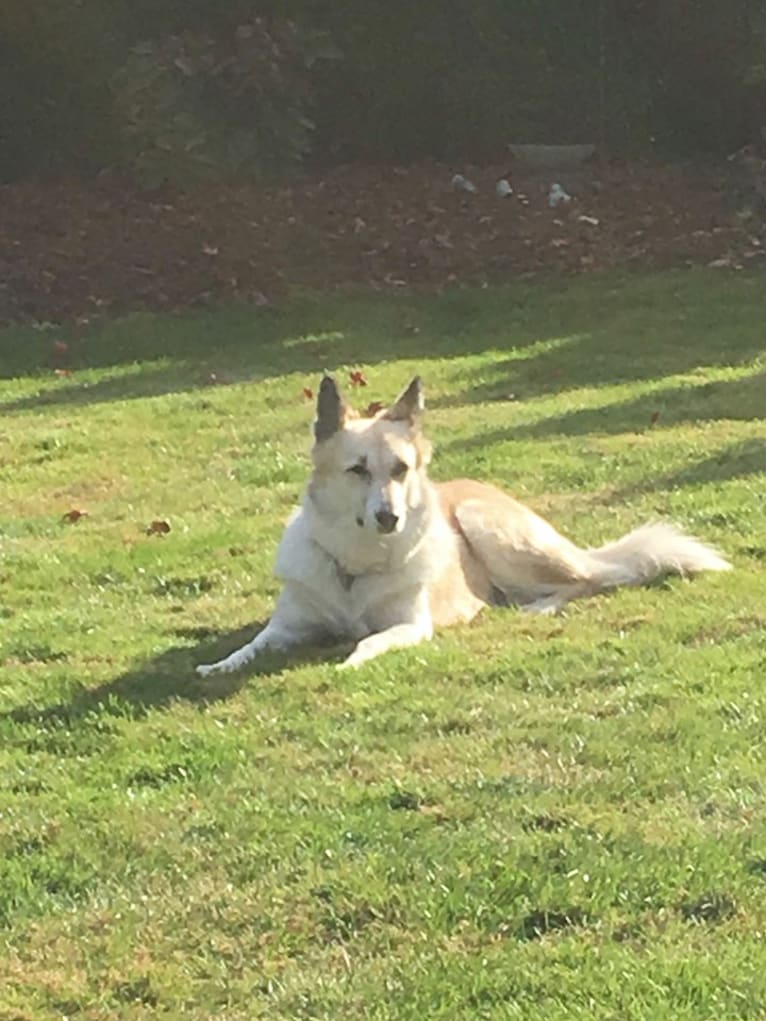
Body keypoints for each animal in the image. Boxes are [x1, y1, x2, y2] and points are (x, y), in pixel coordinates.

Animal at [198, 371, 731, 673]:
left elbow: (372, 640)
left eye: (400, 469)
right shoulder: (288, 626)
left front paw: (350, 659)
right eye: (357, 470)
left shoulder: (412, 625)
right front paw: (218, 665)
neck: (356, 563)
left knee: (593, 580)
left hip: (491, 530)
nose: (389, 517)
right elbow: (254, 645)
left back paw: (539, 607)